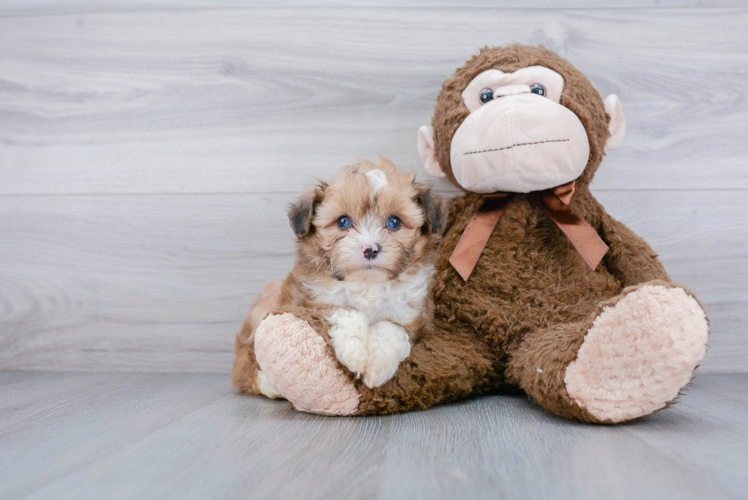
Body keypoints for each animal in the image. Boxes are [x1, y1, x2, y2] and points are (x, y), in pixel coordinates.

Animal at [234, 158, 444, 396]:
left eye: (394, 222)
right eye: (343, 222)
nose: (370, 249)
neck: (367, 284)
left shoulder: (414, 314)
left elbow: (391, 327)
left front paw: (377, 367)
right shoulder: (316, 299)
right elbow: (347, 312)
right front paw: (355, 353)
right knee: (244, 365)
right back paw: (270, 384)